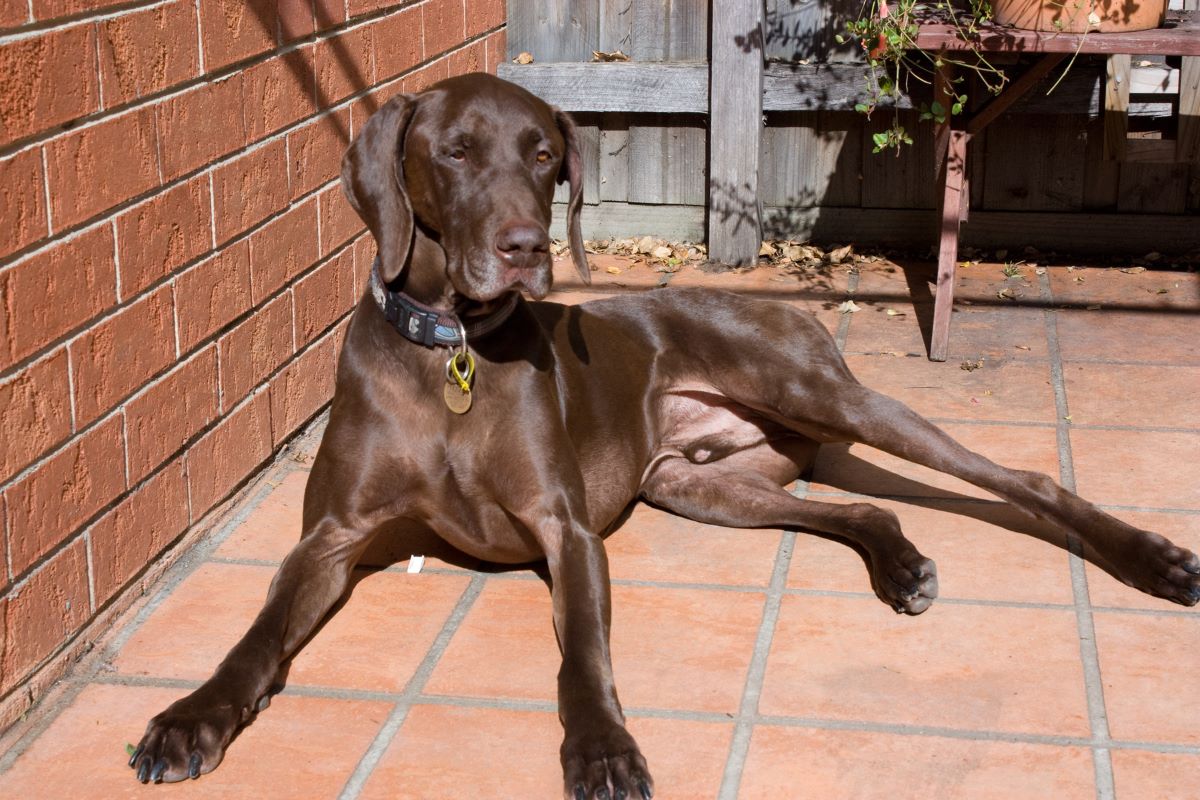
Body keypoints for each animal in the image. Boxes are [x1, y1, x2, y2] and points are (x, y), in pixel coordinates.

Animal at [129, 73, 1199, 799]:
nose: (525, 249)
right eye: (456, 152)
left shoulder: (566, 530)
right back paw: (900, 566)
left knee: (1021, 479)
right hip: (693, 483)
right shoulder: (332, 536)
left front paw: (603, 749)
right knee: (852, 507)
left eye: (544, 155)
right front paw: (191, 717)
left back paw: (1153, 559)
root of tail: (790, 311)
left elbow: (584, 660)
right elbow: (255, 636)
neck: (452, 353)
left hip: (831, 401)